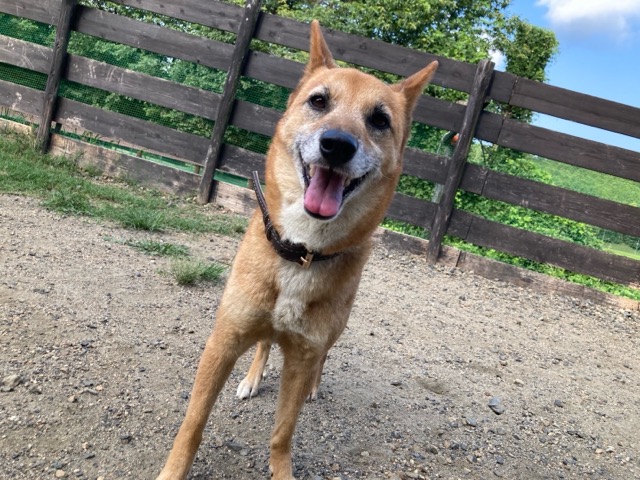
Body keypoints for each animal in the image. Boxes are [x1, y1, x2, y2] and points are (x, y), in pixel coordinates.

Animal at [156, 20, 438, 480]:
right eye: (319, 101)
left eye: (379, 120)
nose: (337, 144)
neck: (302, 249)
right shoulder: (224, 340)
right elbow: (193, 422)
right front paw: (174, 469)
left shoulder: (304, 355)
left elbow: (282, 432)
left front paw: (281, 468)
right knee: (265, 342)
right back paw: (253, 377)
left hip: (331, 334)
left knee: (318, 358)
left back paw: (313, 387)